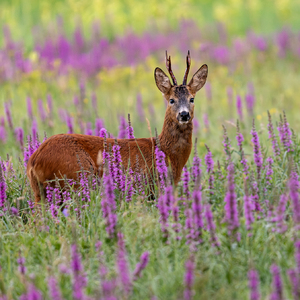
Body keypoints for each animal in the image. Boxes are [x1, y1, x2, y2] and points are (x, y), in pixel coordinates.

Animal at [27, 52, 207, 204]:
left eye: (192, 99)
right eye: (171, 100)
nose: (184, 114)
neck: (167, 151)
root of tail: (33, 160)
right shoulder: (154, 186)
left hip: (40, 192)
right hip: (76, 177)